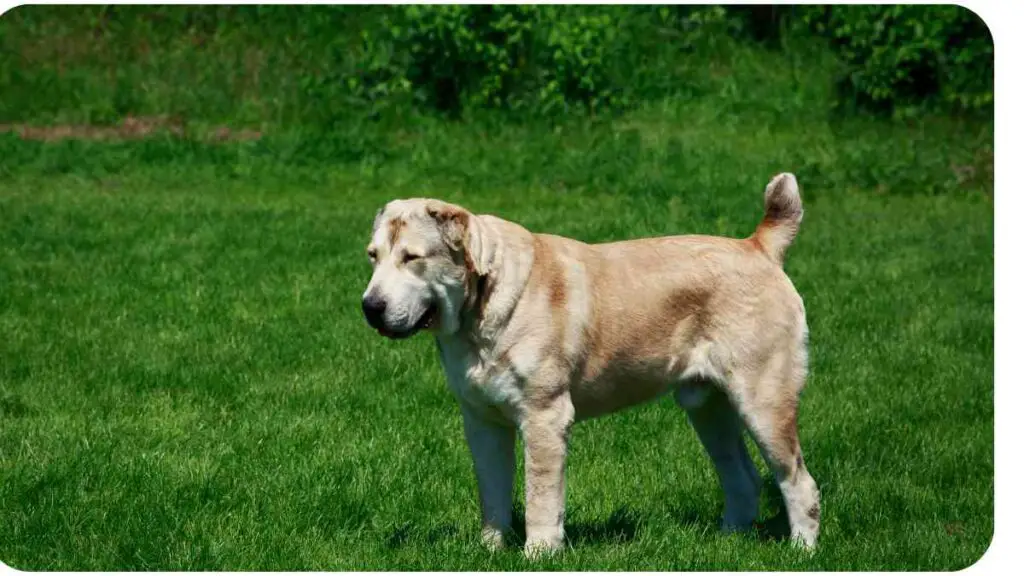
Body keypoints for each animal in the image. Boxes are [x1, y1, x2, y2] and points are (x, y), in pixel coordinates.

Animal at [364, 172, 819, 553]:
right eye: (373, 256)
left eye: (412, 258)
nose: (370, 306)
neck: (480, 303)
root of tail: (756, 246)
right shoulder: (482, 422)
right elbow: (492, 492)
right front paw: (489, 551)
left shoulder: (544, 417)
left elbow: (540, 495)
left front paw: (538, 553)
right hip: (708, 407)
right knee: (743, 477)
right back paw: (727, 541)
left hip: (764, 399)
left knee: (798, 481)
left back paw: (801, 550)